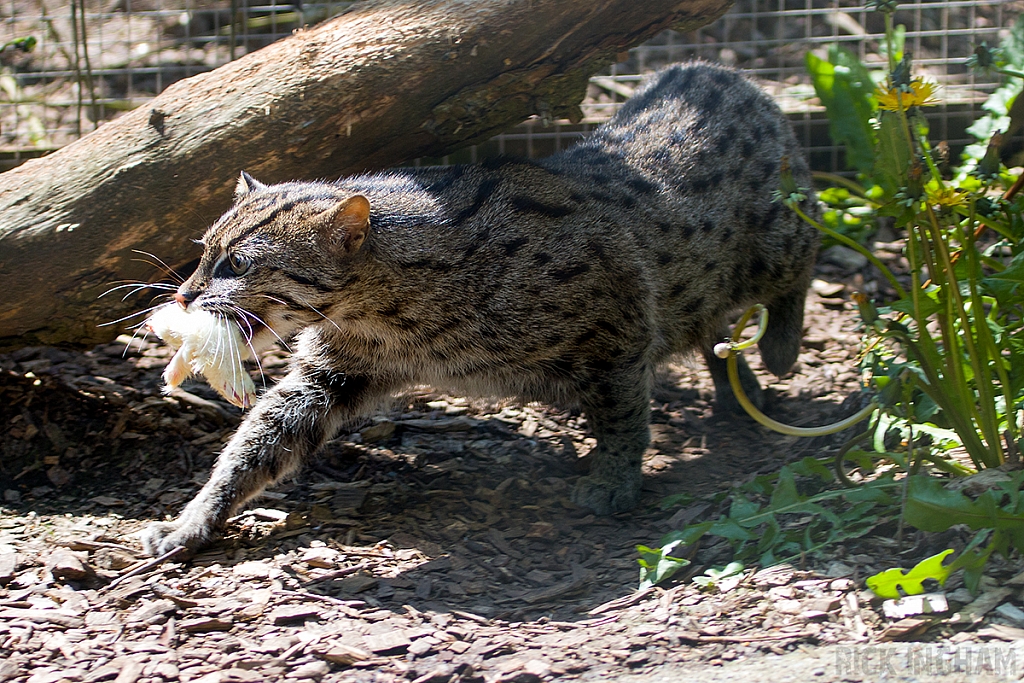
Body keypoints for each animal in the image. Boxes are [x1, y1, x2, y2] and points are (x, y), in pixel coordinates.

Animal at [140, 61, 819, 557]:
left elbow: (625, 418)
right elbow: (253, 447)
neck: (391, 319)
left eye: (235, 265)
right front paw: (193, 520)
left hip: (773, 243)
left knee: (811, 248)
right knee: (713, 331)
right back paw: (739, 390)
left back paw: (780, 348)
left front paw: (614, 482)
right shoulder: (328, 377)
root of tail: (714, 69)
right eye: (203, 253)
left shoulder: (617, 334)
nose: (182, 294)